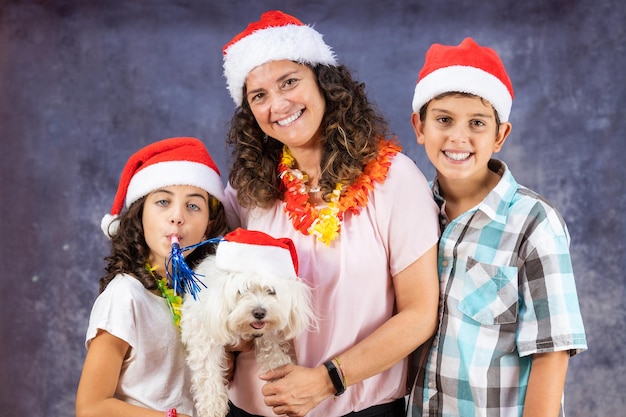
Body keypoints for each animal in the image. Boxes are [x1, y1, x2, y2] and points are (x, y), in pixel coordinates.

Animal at [178, 229, 314, 416]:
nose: (259, 313)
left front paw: (278, 375)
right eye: (242, 291)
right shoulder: (203, 337)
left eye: (271, 291)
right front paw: (213, 408)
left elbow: (271, 349)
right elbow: (208, 375)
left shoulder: (267, 332)